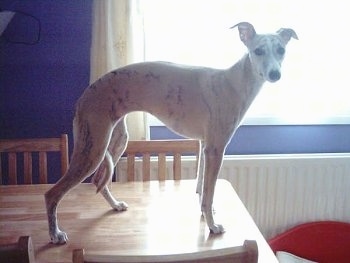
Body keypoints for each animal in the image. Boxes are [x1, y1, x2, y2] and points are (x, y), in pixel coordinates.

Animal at [45, 21, 298, 244]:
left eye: (281, 50)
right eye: (258, 51)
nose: (275, 74)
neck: (234, 83)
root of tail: (83, 96)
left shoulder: (205, 147)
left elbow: (202, 189)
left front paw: (205, 213)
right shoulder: (216, 149)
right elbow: (208, 192)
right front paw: (213, 226)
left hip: (116, 141)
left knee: (100, 180)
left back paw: (115, 205)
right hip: (93, 148)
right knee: (52, 194)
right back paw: (56, 235)